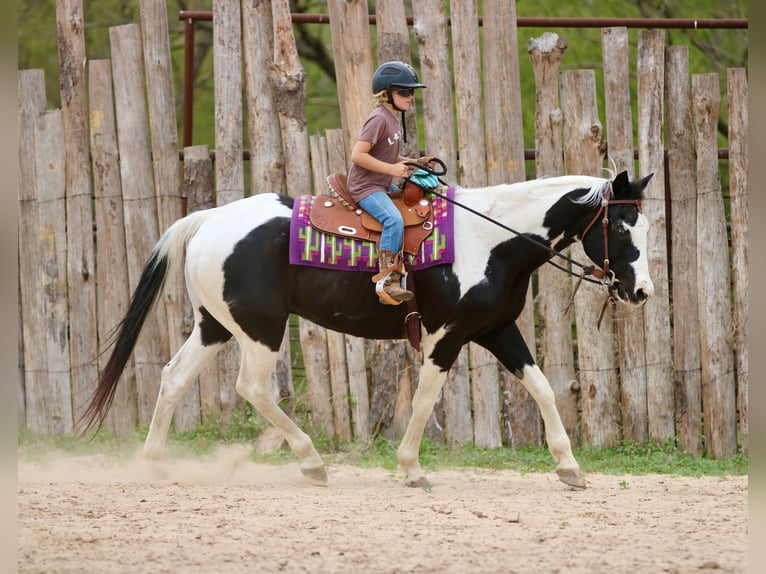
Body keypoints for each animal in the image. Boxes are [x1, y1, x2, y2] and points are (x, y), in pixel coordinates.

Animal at [80, 169, 654, 489]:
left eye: (645, 225)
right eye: (619, 226)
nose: (642, 291)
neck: (490, 241)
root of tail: (209, 219)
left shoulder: (496, 330)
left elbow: (542, 388)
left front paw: (569, 467)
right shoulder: (446, 337)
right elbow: (424, 398)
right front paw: (412, 469)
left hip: (214, 327)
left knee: (174, 378)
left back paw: (154, 463)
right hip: (259, 329)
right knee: (252, 388)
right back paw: (312, 462)